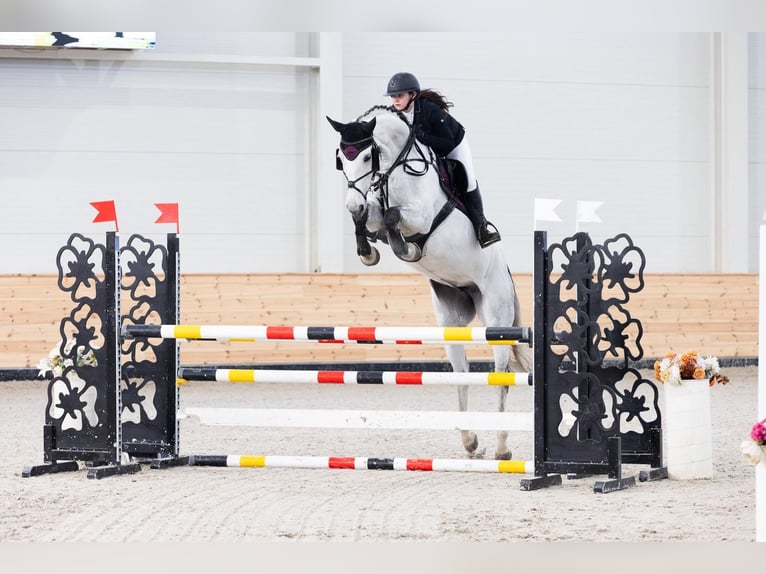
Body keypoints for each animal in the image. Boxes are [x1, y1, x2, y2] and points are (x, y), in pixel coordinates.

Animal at [327, 106, 532, 460]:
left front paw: (404, 248)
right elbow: (370, 220)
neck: (395, 170)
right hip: (451, 319)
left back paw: (502, 447)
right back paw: (470, 441)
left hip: (496, 315)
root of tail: (505, 276)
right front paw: (368, 251)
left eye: (367, 156)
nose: (353, 201)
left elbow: (394, 216)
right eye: (341, 158)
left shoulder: (421, 217)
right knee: (462, 374)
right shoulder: (373, 213)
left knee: (501, 374)